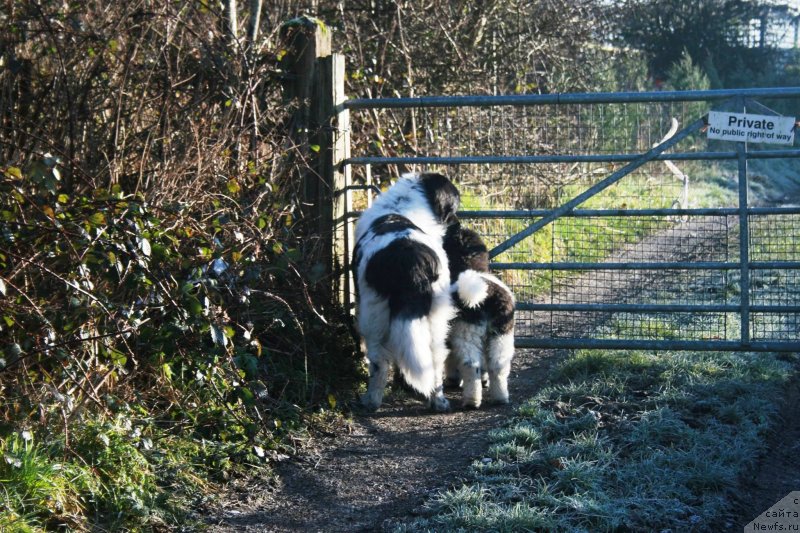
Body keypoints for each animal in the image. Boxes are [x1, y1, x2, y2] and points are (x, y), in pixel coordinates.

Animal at [354, 172, 460, 410]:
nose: (458, 225)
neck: (401, 205)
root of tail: (409, 257)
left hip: (373, 316)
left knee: (379, 361)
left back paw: (371, 400)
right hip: (436, 314)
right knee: (433, 356)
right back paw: (437, 401)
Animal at [440, 220, 516, 408]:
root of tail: (484, 291)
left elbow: (450, 357)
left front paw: (452, 379)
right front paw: (484, 379)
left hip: (466, 331)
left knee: (470, 364)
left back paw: (471, 400)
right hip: (502, 333)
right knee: (498, 364)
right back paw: (500, 397)